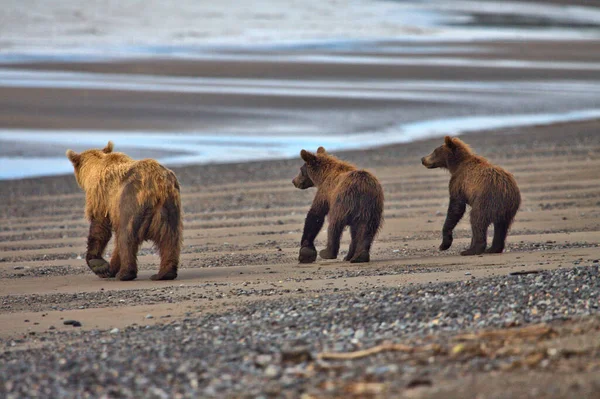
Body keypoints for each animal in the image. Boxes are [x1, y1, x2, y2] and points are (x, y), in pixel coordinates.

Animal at [66, 141, 183, 282]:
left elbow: (99, 226)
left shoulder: (101, 196)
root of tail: (157, 184)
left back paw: (125, 274)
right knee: (170, 238)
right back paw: (165, 273)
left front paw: (100, 265)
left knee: (126, 236)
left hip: (131, 200)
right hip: (169, 206)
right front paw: (110, 268)